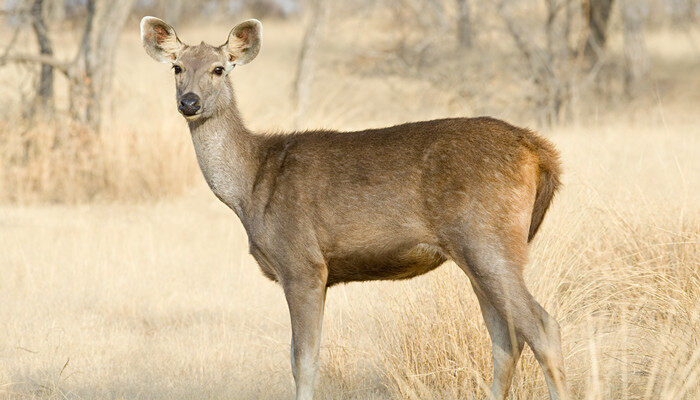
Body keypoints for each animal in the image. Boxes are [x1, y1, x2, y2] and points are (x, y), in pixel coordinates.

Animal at [141, 16, 568, 400]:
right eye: (178, 67)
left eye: (218, 68)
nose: (189, 102)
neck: (251, 186)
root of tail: (539, 151)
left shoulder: (302, 263)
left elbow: (303, 361)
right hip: (477, 252)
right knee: (505, 339)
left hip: (488, 239)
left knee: (542, 327)